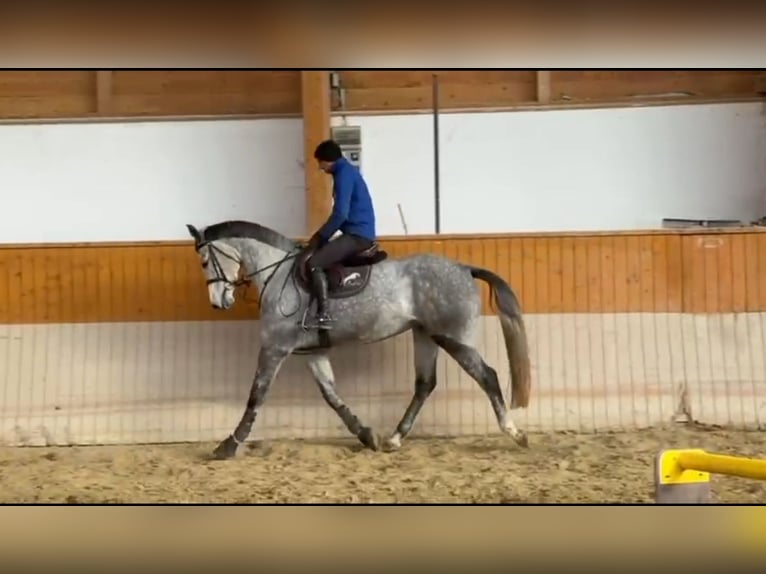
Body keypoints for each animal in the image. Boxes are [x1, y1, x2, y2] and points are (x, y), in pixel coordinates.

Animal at [185, 220, 532, 460]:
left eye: (204, 261)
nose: (219, 303)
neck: (278, 275)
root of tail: (464, 268)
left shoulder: (274, 348)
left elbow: (256, 396)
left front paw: (228, 445)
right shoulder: (312, 353)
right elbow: (331, 396)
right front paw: (366, 435)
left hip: (453, 338)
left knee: (487, 376)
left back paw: (514, 433)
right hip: (425, 335)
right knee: (425, 384)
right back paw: (394, 439)